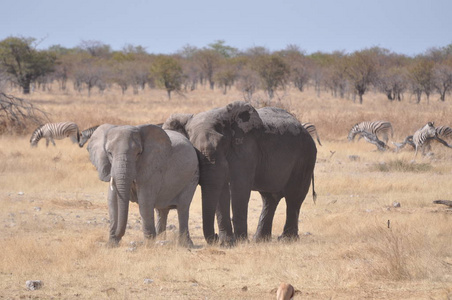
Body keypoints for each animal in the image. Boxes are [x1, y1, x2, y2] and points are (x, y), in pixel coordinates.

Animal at [163, 101, 318, 246]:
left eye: (223, 143)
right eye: (194, 149)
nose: (215, 237)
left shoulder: (245, 148)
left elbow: (239, 187)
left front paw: (240, 241)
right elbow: (222, 190)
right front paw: (227, 242)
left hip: (306, 156)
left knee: (294, 196)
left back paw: (286, 239)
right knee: (269, 198)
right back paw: (260, 239)